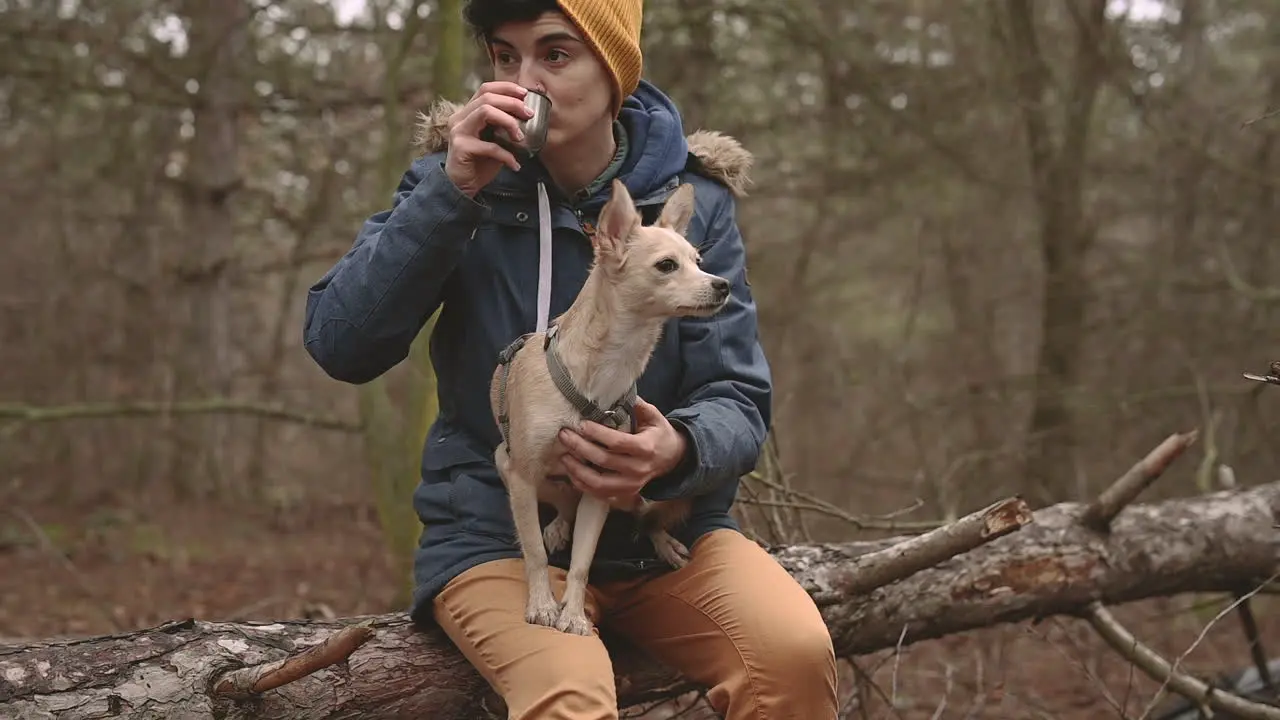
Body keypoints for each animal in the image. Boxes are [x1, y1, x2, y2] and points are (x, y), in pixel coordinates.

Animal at [488, 179, 732, 632]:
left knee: (641, 516)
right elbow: (534, 553)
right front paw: (543, 605)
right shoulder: (522, 476)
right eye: (667, 265)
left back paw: (663, 543)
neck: (609, 366)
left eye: (699, 261)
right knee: (560, 512)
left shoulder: (602, 484)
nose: (723, 284)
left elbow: (583, 560)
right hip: (507, 463)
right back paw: (557, 528)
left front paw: (573, 615)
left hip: (638, 491)